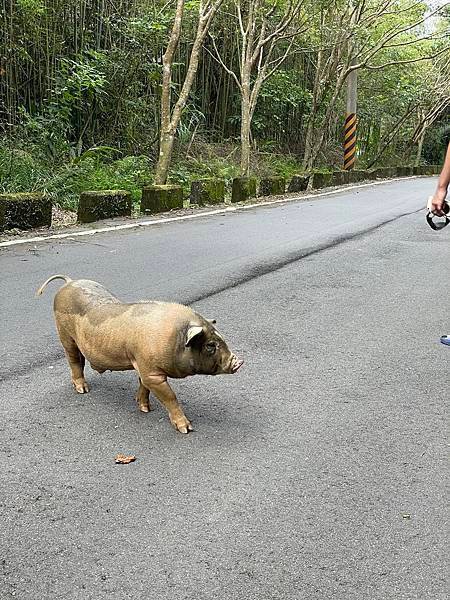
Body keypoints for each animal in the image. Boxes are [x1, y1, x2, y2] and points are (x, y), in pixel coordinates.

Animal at [37, 274, 244, 434]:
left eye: (221, 337)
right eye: (210, 345)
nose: (239, 361)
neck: (173, 339)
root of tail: (68, 282)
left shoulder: (143, 366)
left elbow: (143, 386)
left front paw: (145, 409)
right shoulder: (152, 373)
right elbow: (170, 397)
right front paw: (187, 429)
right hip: (65, 336)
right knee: (74, 361)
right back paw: (83, 390)